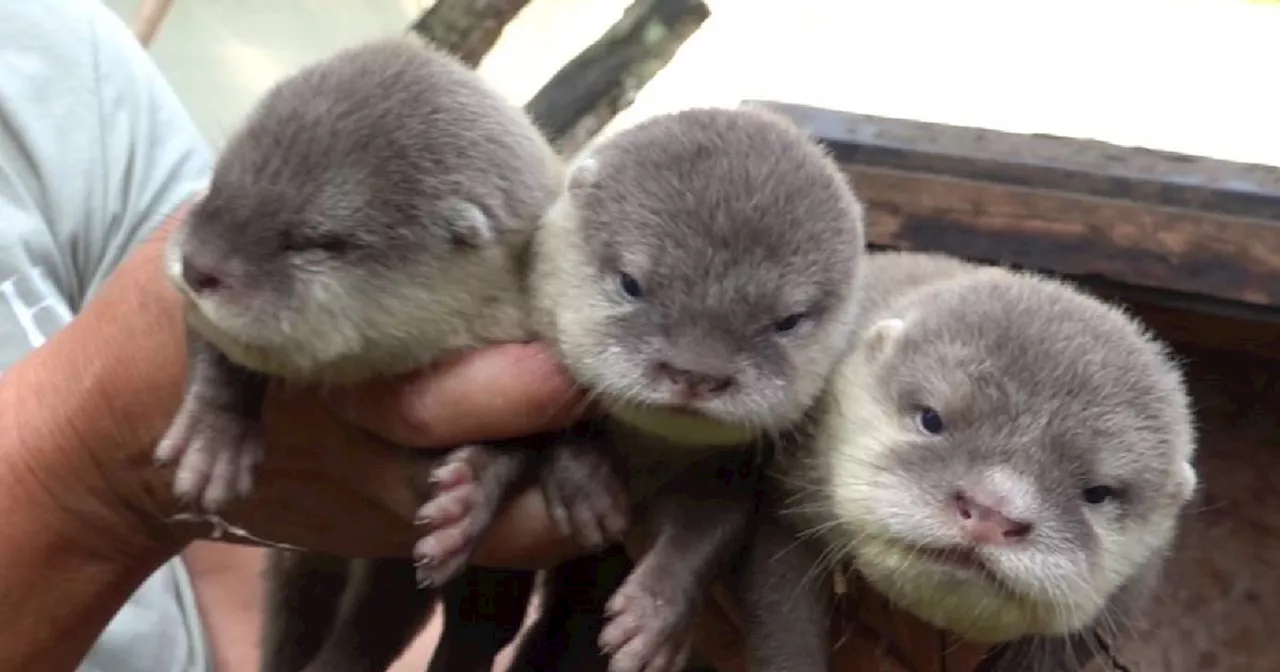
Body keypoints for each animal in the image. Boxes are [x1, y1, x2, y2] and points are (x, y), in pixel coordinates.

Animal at [147, 35, 563, 670]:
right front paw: (213, 436)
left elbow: (532, 442)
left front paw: (471, 491)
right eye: (218, 181)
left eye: (317, 241)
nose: (199, 266)